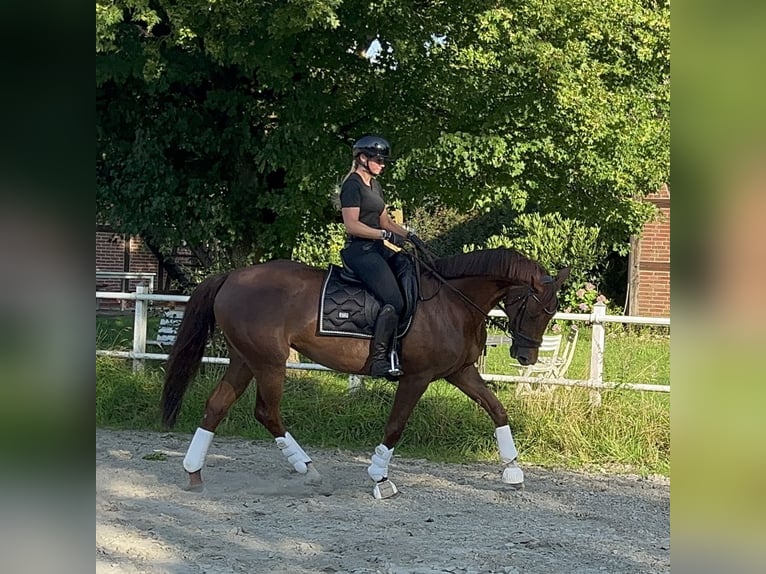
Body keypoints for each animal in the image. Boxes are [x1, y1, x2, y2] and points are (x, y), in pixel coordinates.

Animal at [162, 250, 568, 502]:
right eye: (535, 309)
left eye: (551, 313)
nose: (526, 356)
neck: (452, 301)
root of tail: (233, 276)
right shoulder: (417, 377)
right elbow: (396, 426)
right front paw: (380, 479)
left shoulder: (460, 372)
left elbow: (497, 409)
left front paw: (513, 471)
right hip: (269, 362)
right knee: (266, 412)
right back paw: (308, 471)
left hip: (245, 360)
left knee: (217, 406)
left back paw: (194, 474)